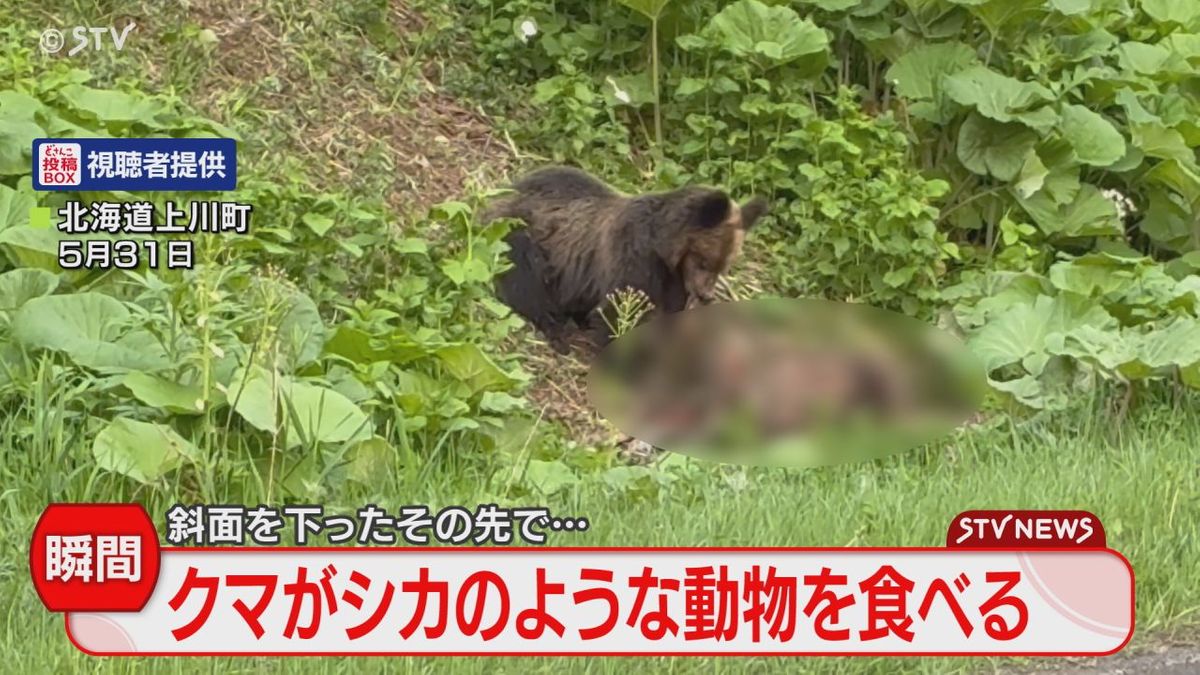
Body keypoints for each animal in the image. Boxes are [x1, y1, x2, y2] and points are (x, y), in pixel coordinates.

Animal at [487, 165, 769, 353]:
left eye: (724, 266)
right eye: (704, 261)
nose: (706, 295)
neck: (662, 251)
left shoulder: (672, 282)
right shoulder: (632, 259)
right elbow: (620, 309)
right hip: (522, 235)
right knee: (526, 283)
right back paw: (559, 331)